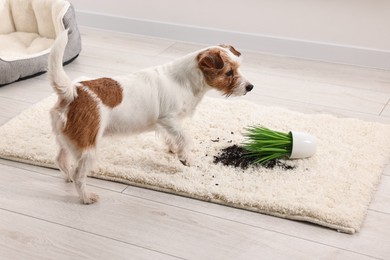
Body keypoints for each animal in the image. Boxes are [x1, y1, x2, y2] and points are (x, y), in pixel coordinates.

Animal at [48, 30, 253, 204]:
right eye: (229, 72)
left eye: (238, 68)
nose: (250, 87)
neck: (185, 80)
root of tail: (73, 93)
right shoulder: (168, 119)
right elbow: (185, 137)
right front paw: (185, 157)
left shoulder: (166, 125)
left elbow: (173, 137)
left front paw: (174, 150)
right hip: (88, 147)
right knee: (79, 175)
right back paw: (86, 197)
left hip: (68, 141)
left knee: (61, 160)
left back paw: (67, 177)